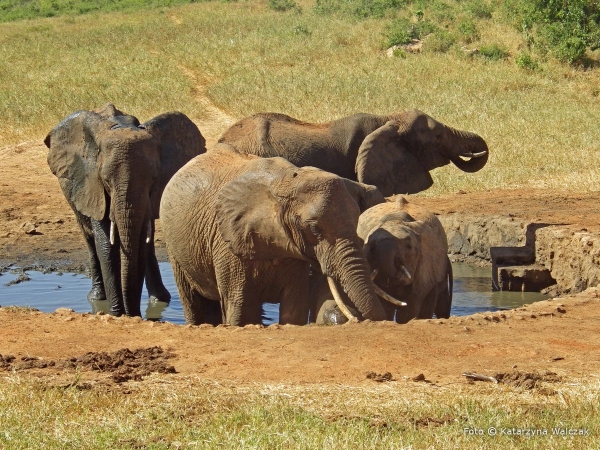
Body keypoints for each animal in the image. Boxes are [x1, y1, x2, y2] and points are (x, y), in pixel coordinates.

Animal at [43, 104, 205, 318]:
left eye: (153, 178)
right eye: (105, 180)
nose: (130, 313)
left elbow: (141, 243)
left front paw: (134, 315)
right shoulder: (94, 187)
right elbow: (105, 245)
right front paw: (116, 314)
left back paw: (160, 299)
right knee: (89, 239)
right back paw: (97, 298)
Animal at [159, 146, 404, 326]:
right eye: (315, 230)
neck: (285, 182)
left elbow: (294, 309)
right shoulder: (227, 243)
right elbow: (241, 308)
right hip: (175, 247)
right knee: (194, 302)